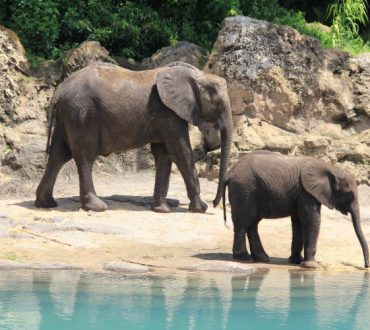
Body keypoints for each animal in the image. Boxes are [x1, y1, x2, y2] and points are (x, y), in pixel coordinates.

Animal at [34, 61, 231, 211]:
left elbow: (164, 155)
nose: (215, 204)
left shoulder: (163, 116)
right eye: (217, 103)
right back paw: (97, 207)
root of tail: (58, 91)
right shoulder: (168, 113)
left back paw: (46, 204)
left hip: (68, 115)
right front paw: (200, 209)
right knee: (84, 156)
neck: (198, 76)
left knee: (58, 154)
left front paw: (162, 210)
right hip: (81, 114)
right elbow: (180, 152)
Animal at [224, 151, 368, 270]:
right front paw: (311, 266)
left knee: (252, 222)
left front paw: (295, 261)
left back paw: (262, 258)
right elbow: (311, 219)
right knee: (243, 222)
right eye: (349, 195)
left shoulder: (301, 193)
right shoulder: (306, 192)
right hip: (244, 189)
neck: (331, 168)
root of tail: (230, 173)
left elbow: (298, 221)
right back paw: (244, 258)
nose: (366, 266)